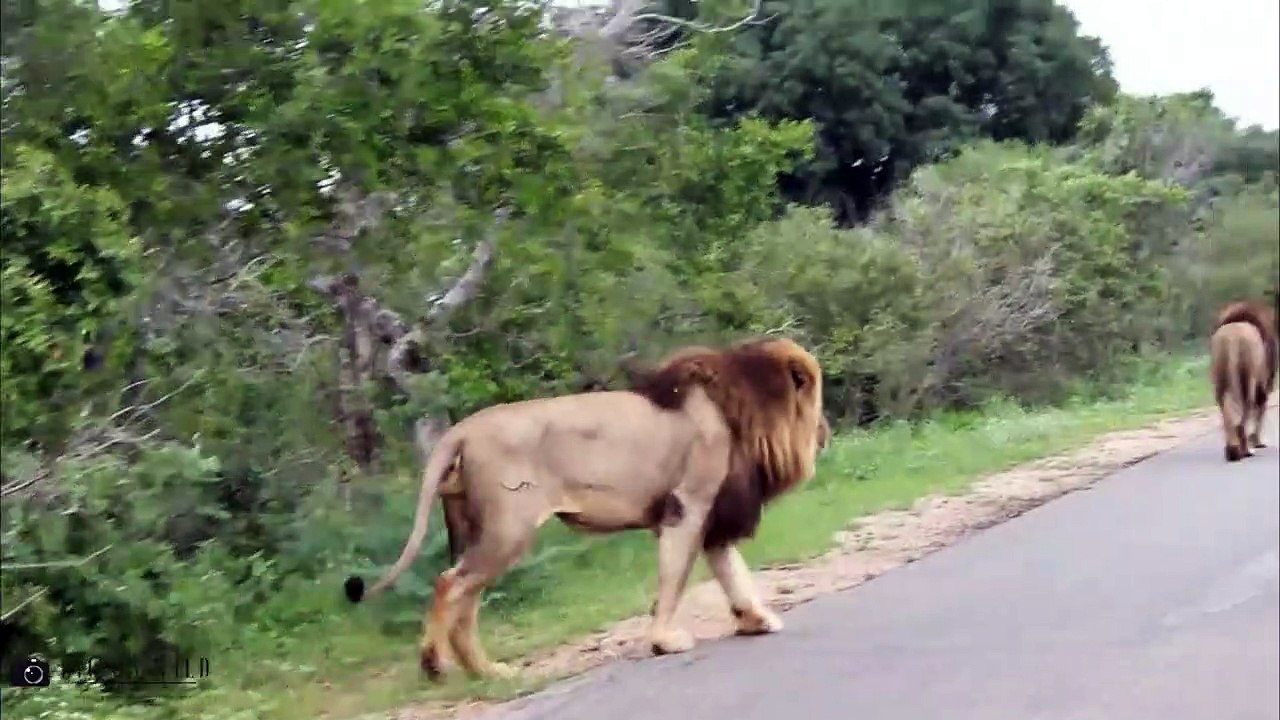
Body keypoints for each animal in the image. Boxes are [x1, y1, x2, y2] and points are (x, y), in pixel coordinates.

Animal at [342, 337, 830, 680]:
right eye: (816, 405)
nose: (826, 432)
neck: (742, 413)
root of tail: (461, 430)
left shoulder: (714, 516)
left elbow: (733, 573)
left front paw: (757, 620)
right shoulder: (687, 507)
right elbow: (674, 580)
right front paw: (664, 642)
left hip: (477, 530)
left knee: (467, 599)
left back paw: (487, 672)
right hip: (509, 529)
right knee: (449, 585)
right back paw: (433, 665)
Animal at [1209, 300, 1278, 462]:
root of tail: (1232, 337)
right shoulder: (1263, 384)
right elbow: (1260, 410)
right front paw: (1257, 442)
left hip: (1219, 371)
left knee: (1226, 410)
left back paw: (1231, 451)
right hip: (1248, 375)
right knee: (1245, 412)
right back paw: (1245, 451)